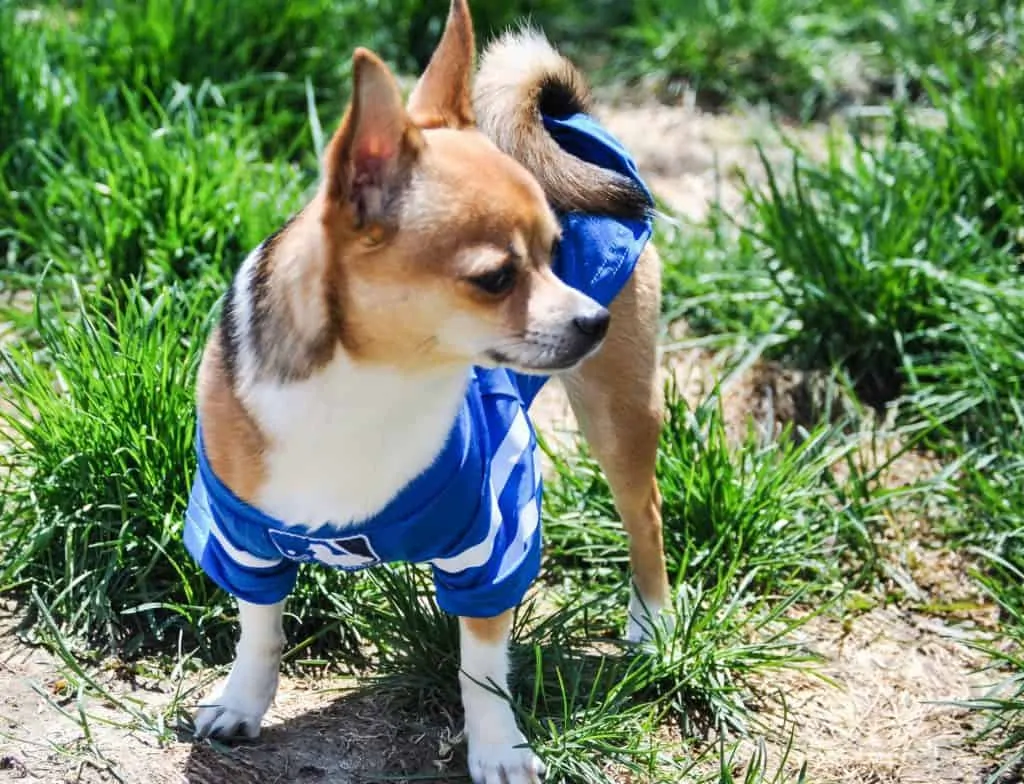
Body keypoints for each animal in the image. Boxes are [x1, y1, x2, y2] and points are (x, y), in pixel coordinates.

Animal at [184, 3, 671, 781]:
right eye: (496, 278)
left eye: (555, 249)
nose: (591, 318)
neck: (374, 386)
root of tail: (569, 118)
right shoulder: (242, 538)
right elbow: (259, 628)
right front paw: (242, 703)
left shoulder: (495, 543)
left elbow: (483, 666)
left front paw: (500, 748)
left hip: (617, 409)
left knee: (644, 513)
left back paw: (652, 627)